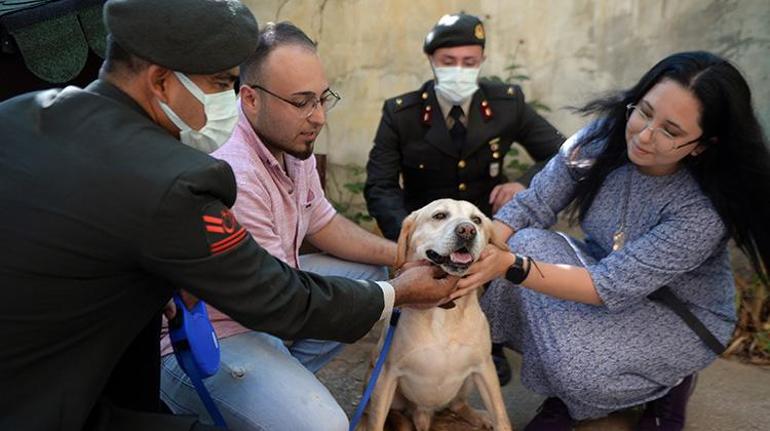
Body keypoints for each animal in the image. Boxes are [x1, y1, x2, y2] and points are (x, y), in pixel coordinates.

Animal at [360, 201, 510, 431]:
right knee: (383, 415)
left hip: (468, 381)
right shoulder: (386, 374)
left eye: (477, 220)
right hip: (374, 382)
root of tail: (424, 415)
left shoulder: (485, 368)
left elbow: (502, 417)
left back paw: (480, 417)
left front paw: (495, 420)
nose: (467, 230)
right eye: (439, 215)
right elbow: (376, 422)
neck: (444, 312)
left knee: (458, 405)